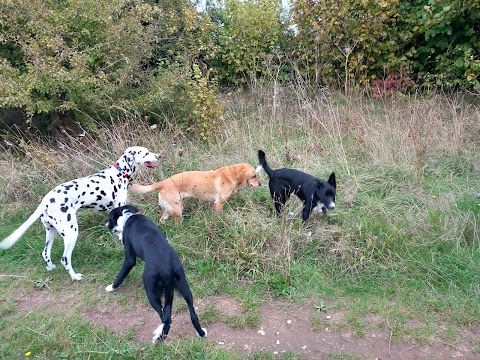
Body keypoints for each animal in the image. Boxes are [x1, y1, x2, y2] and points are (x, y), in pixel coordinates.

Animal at [0, 146, 161, 282]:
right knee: (65, 259)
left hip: (51, 231)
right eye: (146, 153)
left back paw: (51, 268)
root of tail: (45, 201)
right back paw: (75, 277)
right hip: (71, 232)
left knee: (45, 253)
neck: (119, 173)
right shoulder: (119, 208)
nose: (159, 156)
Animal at [106, 205, 207, 344]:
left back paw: (159, 338)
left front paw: (111, 287)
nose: (106, 225)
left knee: (165, 317)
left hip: (151, 291)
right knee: (192, 314)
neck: (128, 217)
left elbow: (121, 275)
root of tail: (167, 269)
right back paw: (201, 333)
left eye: (109, 219)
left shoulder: (129, 258)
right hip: (185, 288)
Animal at [131, 163, 260, 219]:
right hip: (178, 209)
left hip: (168, 210)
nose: (260, 184)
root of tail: (162, 183)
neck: (231, 175)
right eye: (254, 176)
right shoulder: (219, 203)